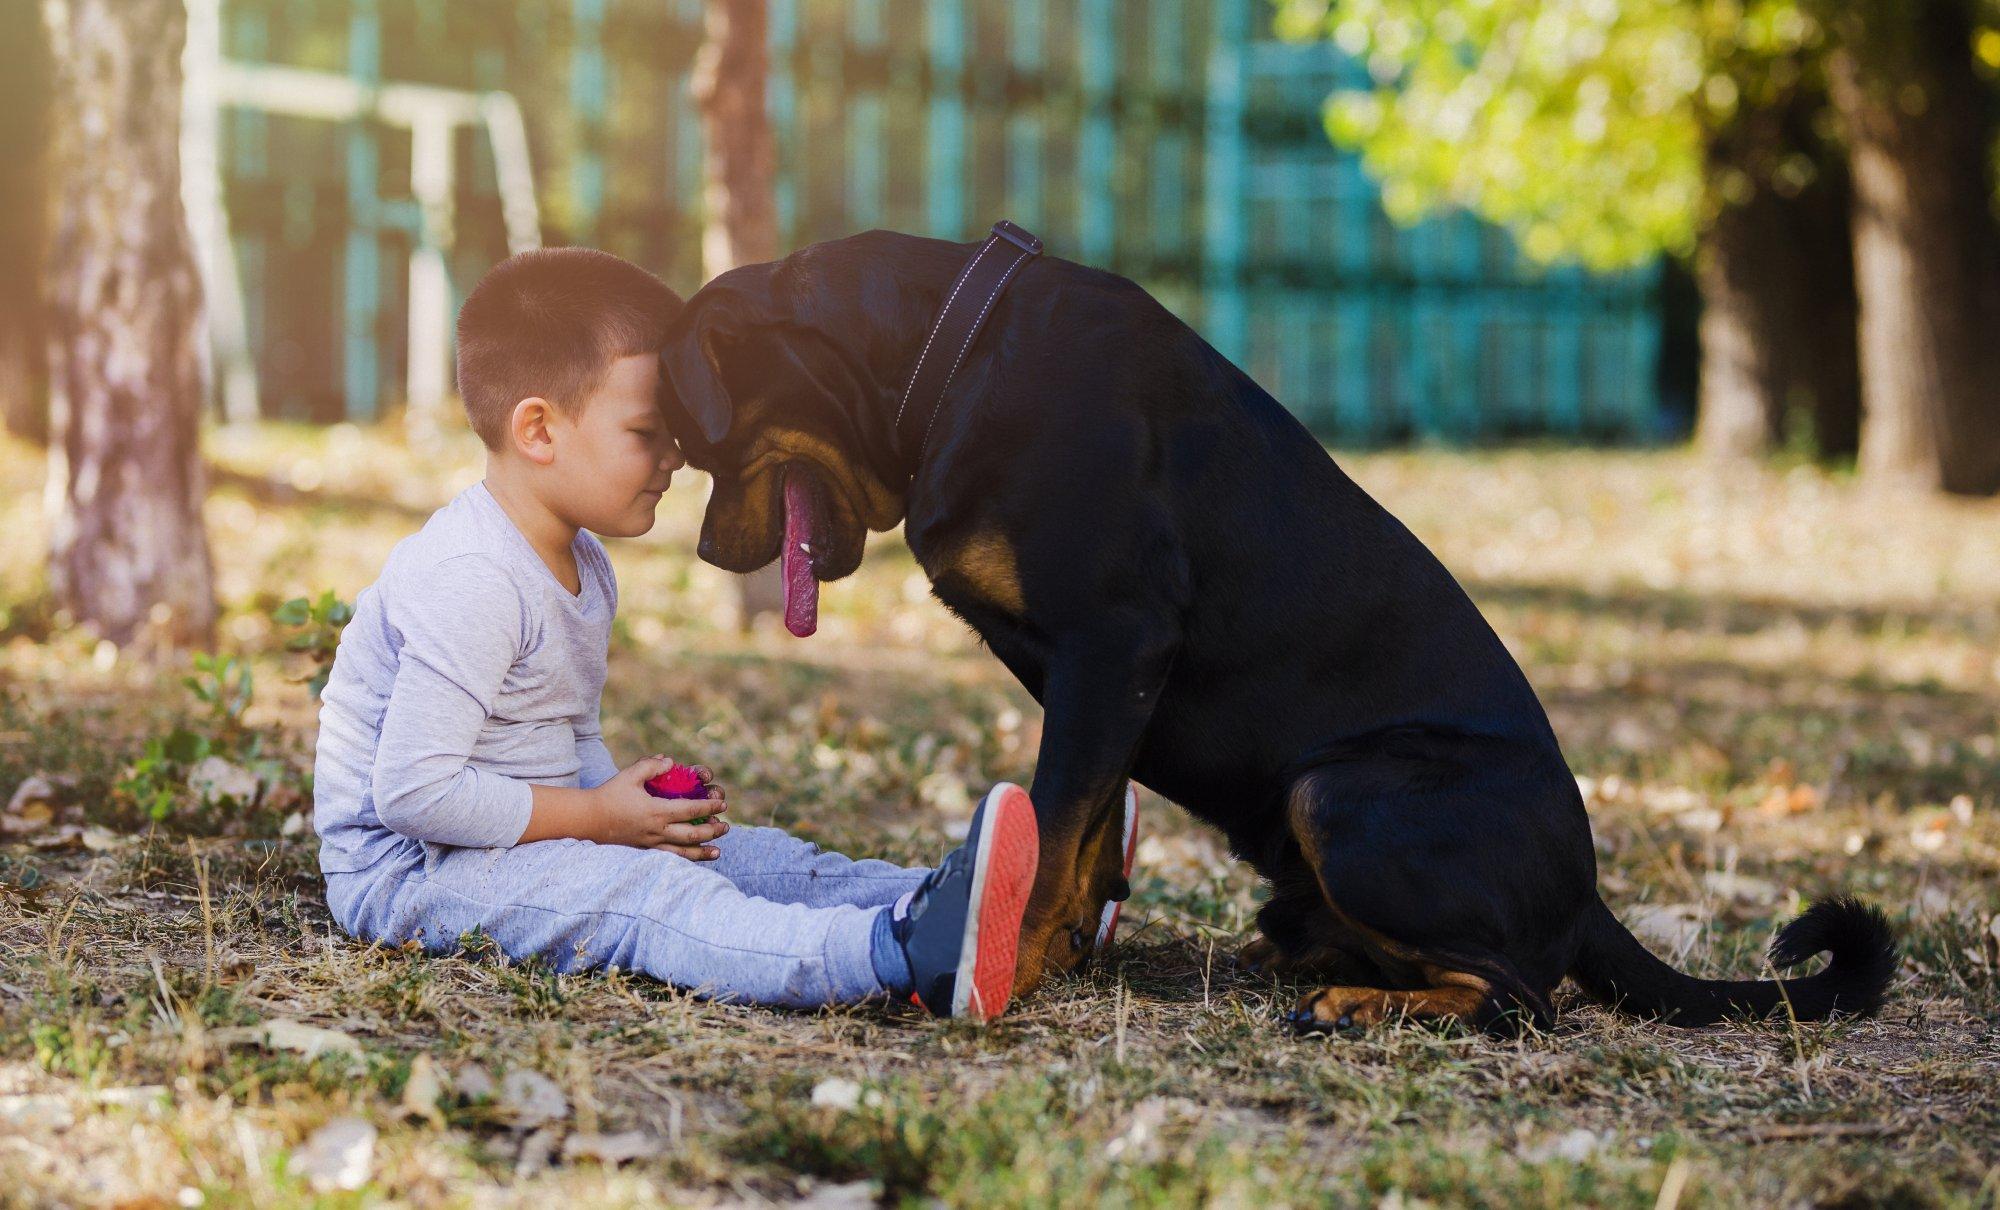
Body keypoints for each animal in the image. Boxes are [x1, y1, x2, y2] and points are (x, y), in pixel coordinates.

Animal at [652, 229, 1888, 1032]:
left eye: (696, 443)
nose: (703, 552)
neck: (942, 362)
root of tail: (1588, 895)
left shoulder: (1113, 642)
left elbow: (1056, 823)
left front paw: (1005, 962)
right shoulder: (1098, 678)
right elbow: (1085, 828)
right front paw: (1060, 947)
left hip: (1339, 794)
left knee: (1526, 999)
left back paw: (1355, 1002)